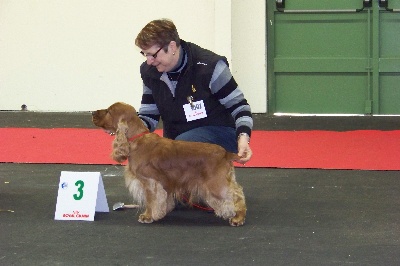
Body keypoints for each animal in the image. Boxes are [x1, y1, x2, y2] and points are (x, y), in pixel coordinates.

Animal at [92, 102, 245, 227]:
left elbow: (150, 200)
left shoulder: (149, 181)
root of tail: (225, 153)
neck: (136, 140)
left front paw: (147, 216)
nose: (92, 112)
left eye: (109, 111)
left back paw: (238, 218)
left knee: (236, 195)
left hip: (216, 183)